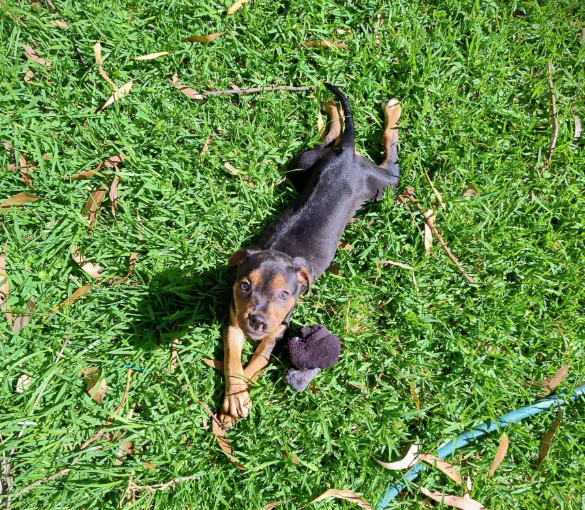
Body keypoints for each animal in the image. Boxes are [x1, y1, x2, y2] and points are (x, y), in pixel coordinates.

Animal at [220, 84, 401, 423]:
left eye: (285, 295)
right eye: (244, 286)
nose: (257, 321)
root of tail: (347, 155)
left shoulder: (278, 330)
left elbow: (258, 360)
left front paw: (240, 397)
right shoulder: (235, 319)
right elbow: (232, 360)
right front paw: (234, 398)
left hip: (382, 187)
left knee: (391, 155)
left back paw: (391, 112)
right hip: (301, 164)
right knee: (333, 138)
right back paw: (332, 111)